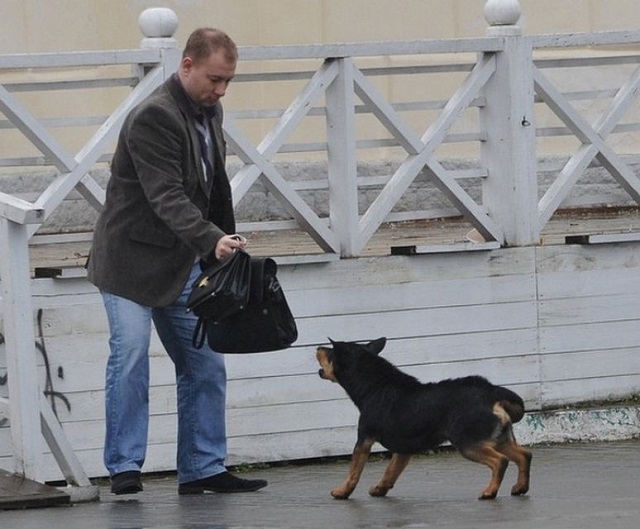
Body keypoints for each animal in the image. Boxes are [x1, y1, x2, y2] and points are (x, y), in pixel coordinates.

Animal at [316, 338, 528, 500]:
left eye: (330, 352)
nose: (318, 347)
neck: (374, 385)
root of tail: (491, 392)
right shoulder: (404, 449)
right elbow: (390, 471)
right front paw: (379, 489)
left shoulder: (364, 439)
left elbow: (354, 471)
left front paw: (342, 492)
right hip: (499, 439)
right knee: (524, 455)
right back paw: (520, 487)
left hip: (469, 443)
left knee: (500, 461)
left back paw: (490, 491)